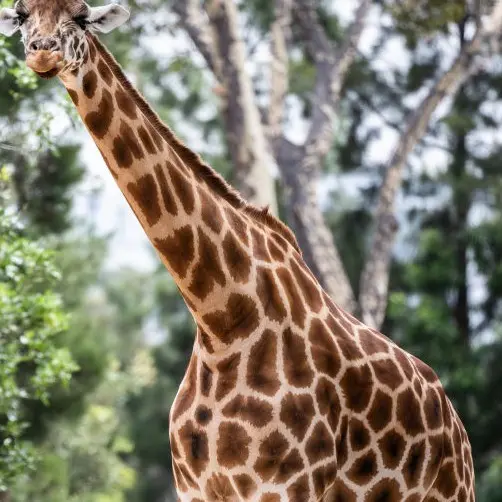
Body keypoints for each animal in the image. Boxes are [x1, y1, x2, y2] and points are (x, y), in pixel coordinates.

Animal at [0, 1, 476, 500]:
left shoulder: (287, 486)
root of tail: (457, 427)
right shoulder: (195, 487)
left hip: (451, 492)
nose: (42, 52)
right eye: (22, 12)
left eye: (80, 16)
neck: (221, 317)